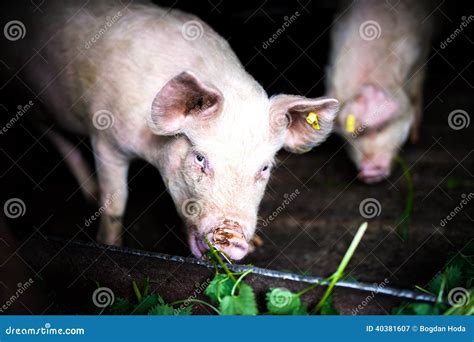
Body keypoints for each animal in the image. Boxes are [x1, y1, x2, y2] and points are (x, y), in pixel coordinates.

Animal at [2, 0, 336, 260]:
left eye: (265, 167)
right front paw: (109, 245)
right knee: (50, 131)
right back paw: (90, 192)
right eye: (200, 158)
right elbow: (115, 203)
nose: (232, 237)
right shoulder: (105, 140)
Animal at [326, 0, 434, 183]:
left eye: (381, 128)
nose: (367, 172)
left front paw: (415, 138)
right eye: (348, 138)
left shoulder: (420, 51)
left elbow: (416, 90)